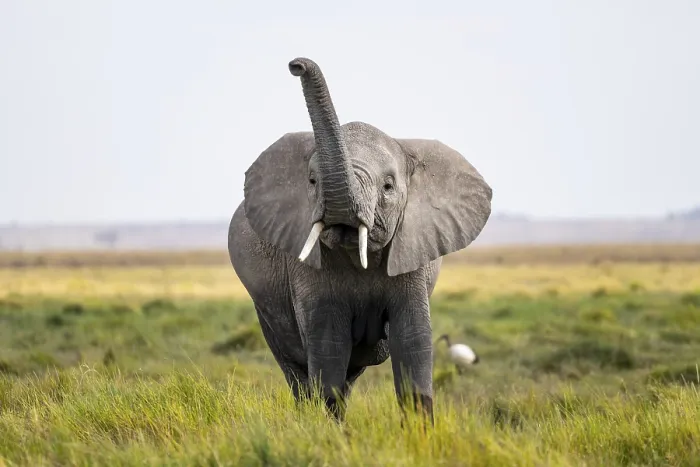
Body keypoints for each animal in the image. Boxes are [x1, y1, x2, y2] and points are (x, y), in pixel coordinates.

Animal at [227, 57, 492, 424]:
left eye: (389, 186)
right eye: (312, 181)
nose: (296, 65)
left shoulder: (412, 252)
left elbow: (412, 339)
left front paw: (418, 432)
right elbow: (328, 343)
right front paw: (325, 430)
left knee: (349, 375)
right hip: (265, 309)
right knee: (296, 369)